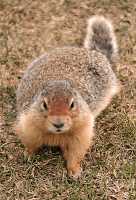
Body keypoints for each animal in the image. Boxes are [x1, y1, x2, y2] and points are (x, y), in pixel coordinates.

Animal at [15, 15, 120, 178]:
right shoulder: (29, 125)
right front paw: (27, 155)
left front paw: (74, 172)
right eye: (44, 104)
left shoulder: (82, 133)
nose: (58, 124)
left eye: (72, 104)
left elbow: (75, 154)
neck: (56, 135)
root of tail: (96, 53)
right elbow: (31, 144)